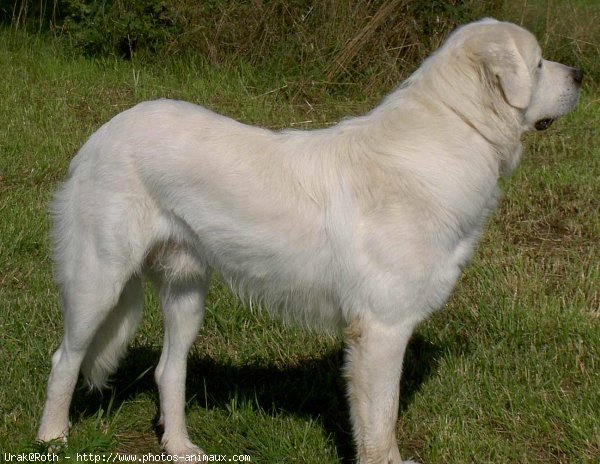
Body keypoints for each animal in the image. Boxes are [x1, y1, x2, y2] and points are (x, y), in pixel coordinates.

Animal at [38, 18, 580, 464]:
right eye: (538, 63)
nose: (578, 74)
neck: (457, 131)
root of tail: (103, 132)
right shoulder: (381, 331)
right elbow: (380, 428)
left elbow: (378, 427)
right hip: (98, 281)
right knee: (66, 359)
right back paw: (52, 439)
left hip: (186, 292)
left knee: (168, 371)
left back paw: (180, 447)